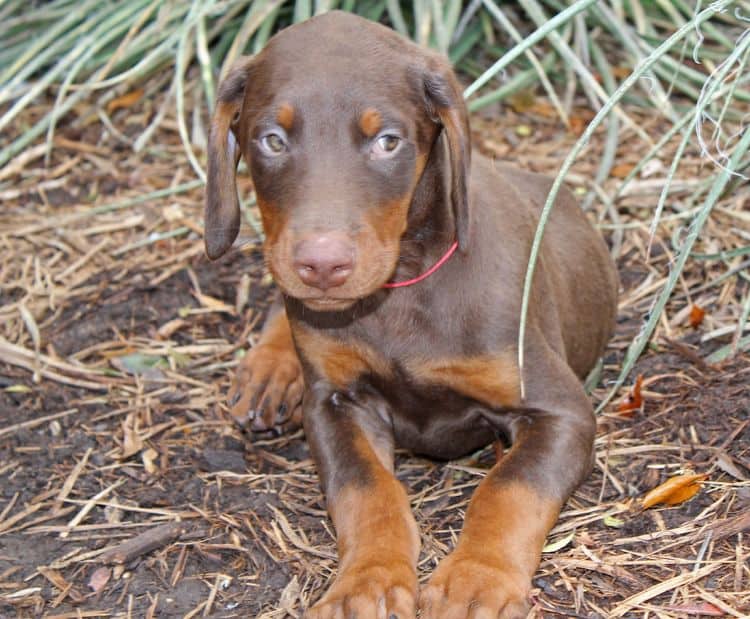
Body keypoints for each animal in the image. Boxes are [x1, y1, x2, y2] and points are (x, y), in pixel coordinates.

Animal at [204, 9, 616, 619]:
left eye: (388, 142)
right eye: (271, 140)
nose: (322, 265)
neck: (398, 292)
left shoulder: (559, 410)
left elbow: (509, 488)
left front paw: (476, 578)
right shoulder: (335, 403)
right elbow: (366, 491)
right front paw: (367, 582)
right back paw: (271, 368)